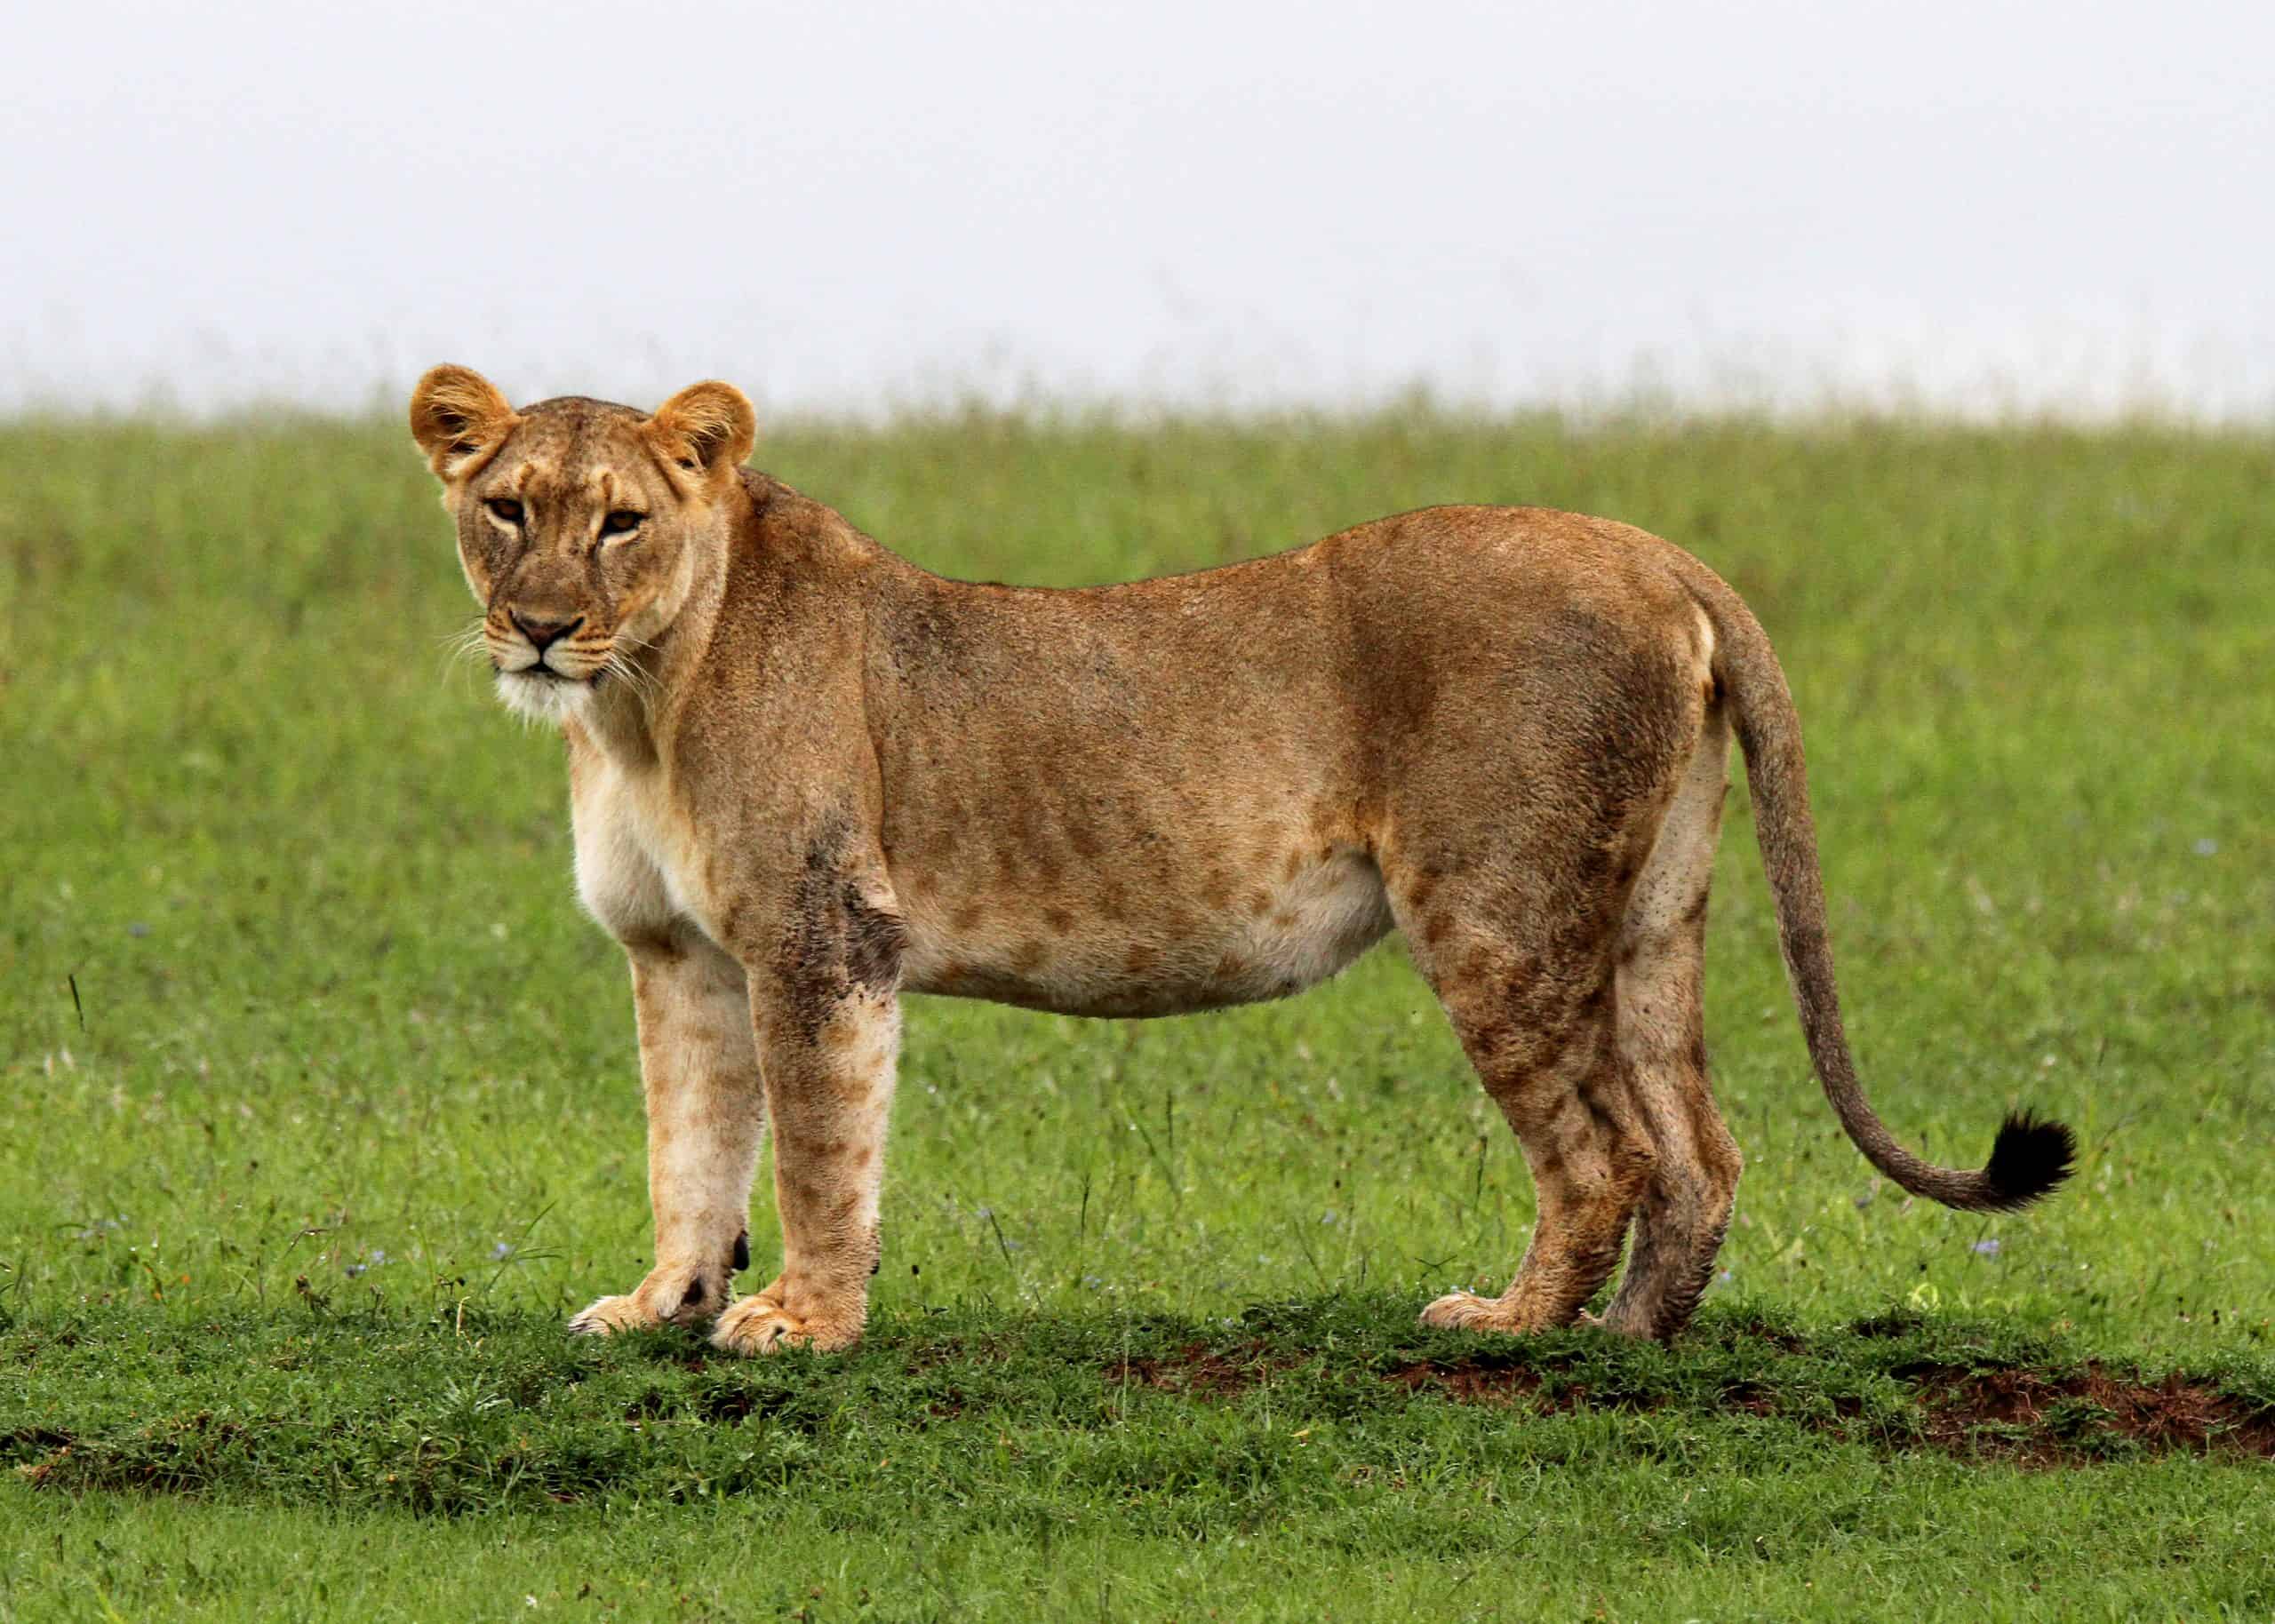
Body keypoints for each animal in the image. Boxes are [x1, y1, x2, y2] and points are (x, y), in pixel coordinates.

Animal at [408, 365, 2074, 1354]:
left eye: (621, 525)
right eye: (507, 509)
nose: (540, 627)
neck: (638, 703)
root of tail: (1651, 547)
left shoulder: (826, 936)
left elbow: (819, 1149)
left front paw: (800, 1324)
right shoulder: (684, 954)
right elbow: (691, 1146)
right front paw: (656, 1305)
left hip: (1496, 912)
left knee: (1611, 1154)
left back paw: (1512, 1327)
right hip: (1655, 908)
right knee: (1703, 1149)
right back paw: (1632, 1346)